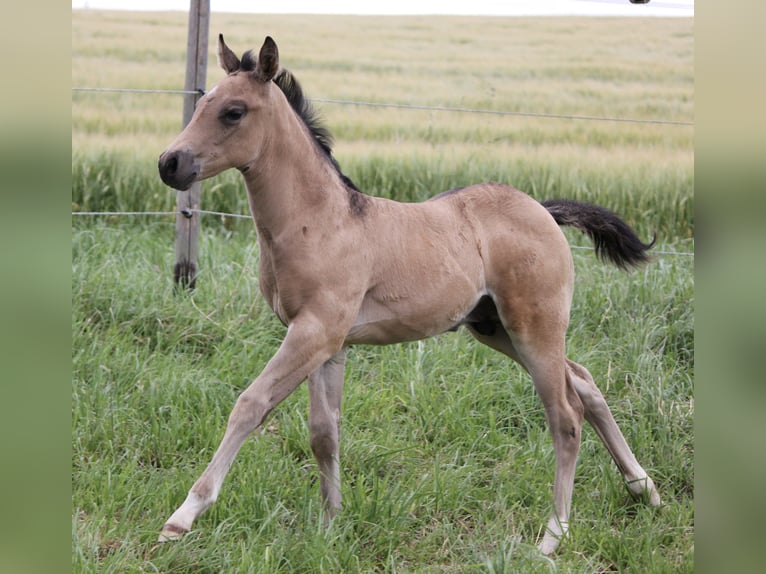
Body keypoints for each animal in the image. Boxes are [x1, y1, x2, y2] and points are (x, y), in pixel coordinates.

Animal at [159, 33, 664, 556]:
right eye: (203, 102)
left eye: (233, 112)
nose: (169, 163)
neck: (320, 220)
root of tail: (543, 209)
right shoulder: (327, 343)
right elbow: (324, 433)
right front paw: (331, 525)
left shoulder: (314, 331)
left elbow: (251, 404)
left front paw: (183, 516)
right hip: (496, 328)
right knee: (584, 381)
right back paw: (643, 489)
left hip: (534, 327)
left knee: (565, 416)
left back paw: (552, 535)